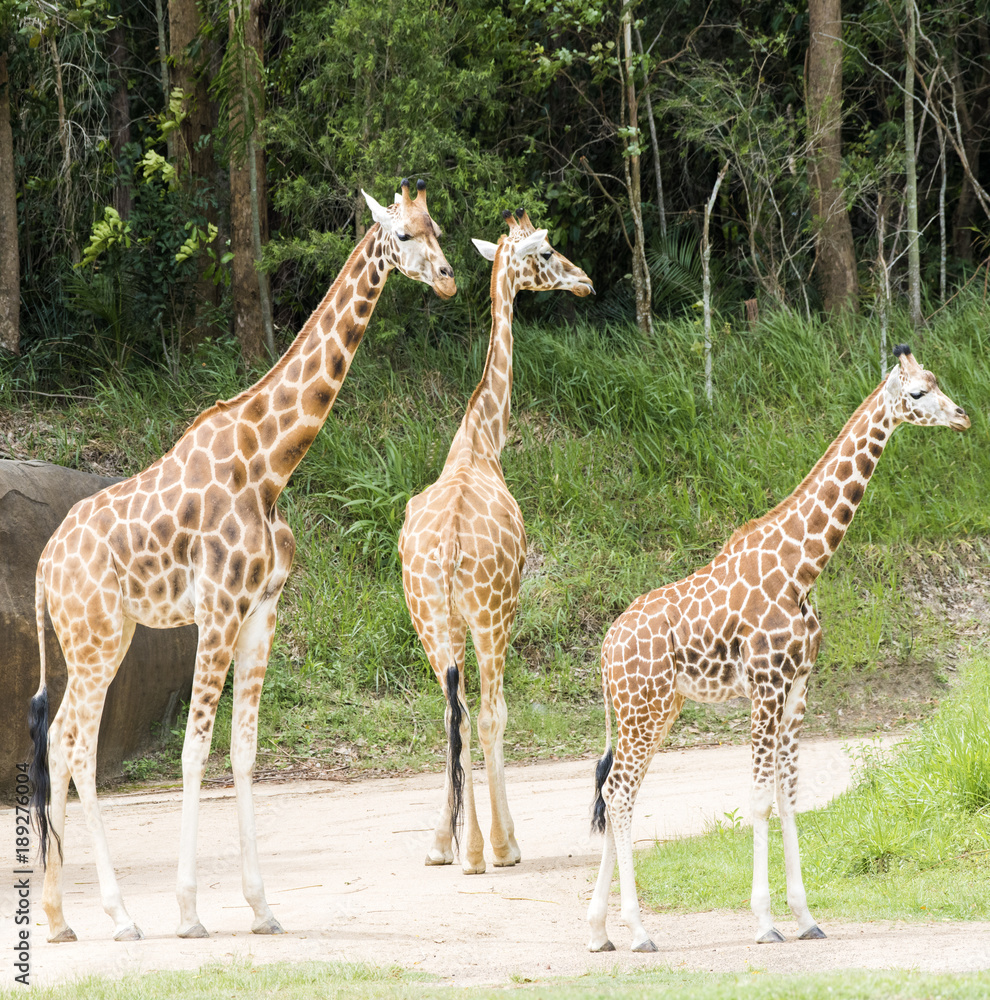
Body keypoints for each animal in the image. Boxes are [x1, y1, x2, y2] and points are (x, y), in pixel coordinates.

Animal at [27, 179, 455, 943]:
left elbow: (244, 751)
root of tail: (45, 567)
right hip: (97, 638)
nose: (447, 278)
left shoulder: (262, 611)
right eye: (402, 235)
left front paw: (261, 907)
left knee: (56, 738)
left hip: (99, 637)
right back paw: (120, 915)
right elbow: (196, 751)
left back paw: (58, 918)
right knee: (76, 745)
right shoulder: (219, 608)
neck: (272, 464)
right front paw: (189, 910)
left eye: (437, 226)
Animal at [399, 209, 593, 873]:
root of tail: (450, 551)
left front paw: (450, 845)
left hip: (429, 620)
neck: (482, 439)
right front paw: (504, 844)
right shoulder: (503, 611)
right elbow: (499, 714)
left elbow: (454, 715)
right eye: (549, 253)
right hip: (489, 616)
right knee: (485, 713)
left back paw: (447, 846)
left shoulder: (450, 624)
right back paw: (495, 850)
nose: (586, 282)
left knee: (451, 712)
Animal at [586, 345, 970, 952]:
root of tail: (605, 646)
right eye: (917, 393)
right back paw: (639, 930)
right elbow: (760, 799)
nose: (962, 416)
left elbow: (790, 796)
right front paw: (765, 922)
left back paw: (600, 931)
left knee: (616, 791)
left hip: (653, 710)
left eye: (937, 382)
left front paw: (805, 916)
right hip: (644, 707)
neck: (804, 568)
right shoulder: (765, 686)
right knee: (620, 794)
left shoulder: (798, 689)